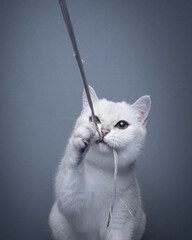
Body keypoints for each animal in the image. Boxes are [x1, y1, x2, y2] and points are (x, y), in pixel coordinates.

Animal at [48, 86, 151, 240]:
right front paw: (81, 139)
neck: (103, 171)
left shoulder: (118, 224)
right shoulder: (72, 204)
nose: (103, 131)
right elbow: (72, 172)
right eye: (94, 119)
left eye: (122, 125)